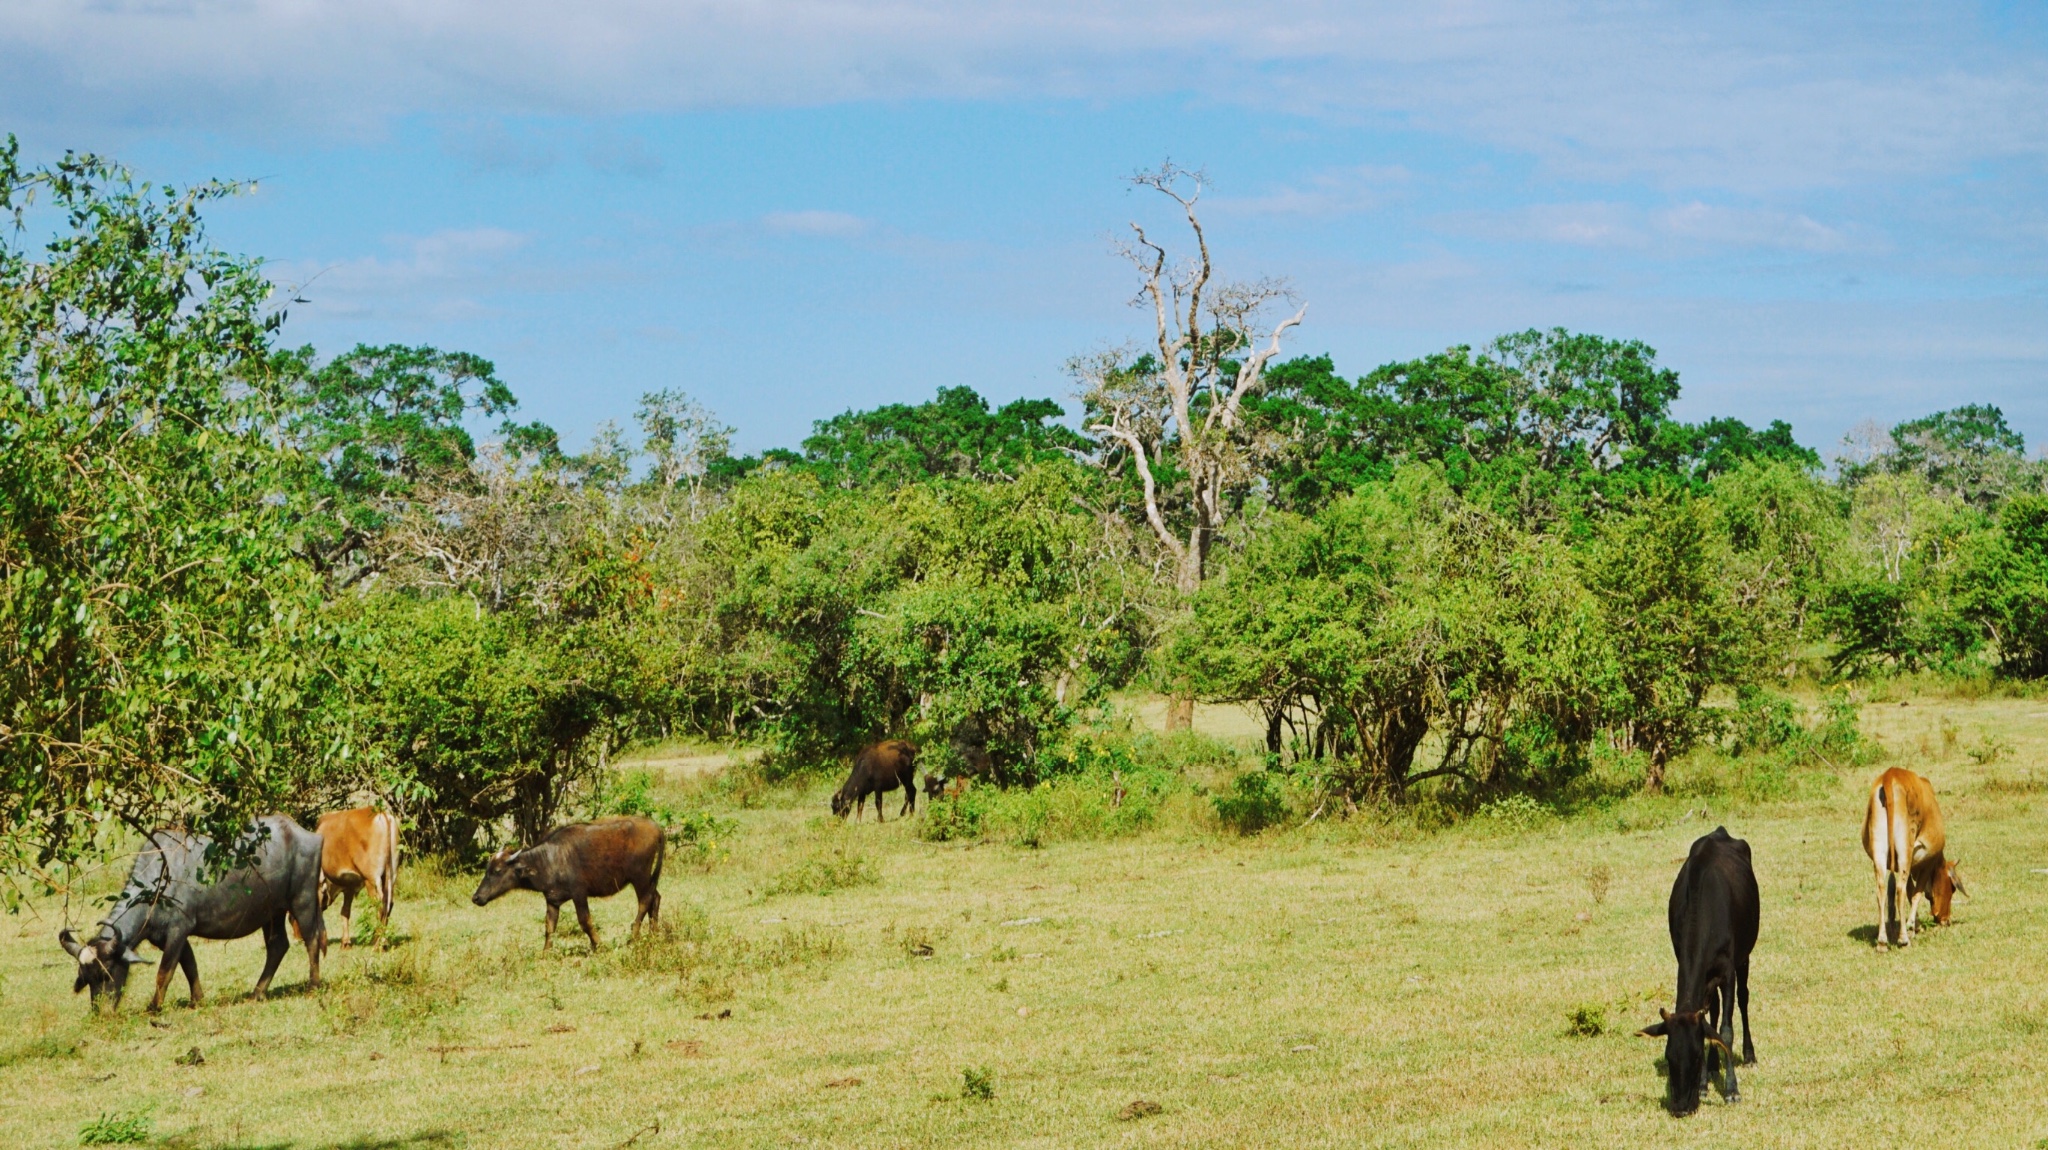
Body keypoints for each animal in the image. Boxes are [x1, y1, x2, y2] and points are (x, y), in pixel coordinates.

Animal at [56, 810, 323, 1006]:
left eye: (108, 972)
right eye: (87, 978)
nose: (101, 1012)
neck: (159, 883)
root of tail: (305, 833)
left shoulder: (178, 929)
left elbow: (165, 971)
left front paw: (154, 1006)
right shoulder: (167, 936)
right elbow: (189, 965)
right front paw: (198, 1000)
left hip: (303, 899)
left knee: (311, 939)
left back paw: (313, 986)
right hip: (272, 912)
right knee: (278, 946)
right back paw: (257, 993)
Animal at [313, 806, 401, 949]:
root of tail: (381, 813)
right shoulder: (350, 885)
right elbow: (345, 911)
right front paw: (345, 942)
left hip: (372, 879)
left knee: (380, 904)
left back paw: (377, 944)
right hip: (391, 875)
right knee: (389, 903)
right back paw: (384, 941)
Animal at [468, 810, 663, 945]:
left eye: (498, 871)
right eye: (487, 870)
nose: (476, 898)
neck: (549, 860)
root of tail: (656, 827)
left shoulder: (579, 894)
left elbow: (585, 922)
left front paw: (598, 945)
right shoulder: (552, 900)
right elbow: (549, 927)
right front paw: (545, 953)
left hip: (639, 876)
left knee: (645, 901)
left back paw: (634, 936)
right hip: (647, 878)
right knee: (656, 898)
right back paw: (653, 934)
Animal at [1630, 822, 1761, 1113]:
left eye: (1696, 1055)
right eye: (1669, 1057)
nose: (1680, 1107)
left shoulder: (1727, 971)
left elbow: (1726, 1031)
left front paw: (1731, 1090)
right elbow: (1711, 1025)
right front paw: (1703, 1085)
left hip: (1745, 957)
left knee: (1743, 1000)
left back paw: (1749, 1055)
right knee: (1713, 1009)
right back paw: (1714, 1067)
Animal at [1859, 765, 1966, 945]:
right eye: (1952, 889)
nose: (1946, 920)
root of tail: (1890, 776)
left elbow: (1911, 892)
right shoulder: (1927, 863)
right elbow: (1916, 894)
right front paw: (1912, 925)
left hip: (1880, 854)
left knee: (1881, 889)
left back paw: (1882, 941)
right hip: (1905, 851)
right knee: (1900, 890)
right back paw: (1903, 938)